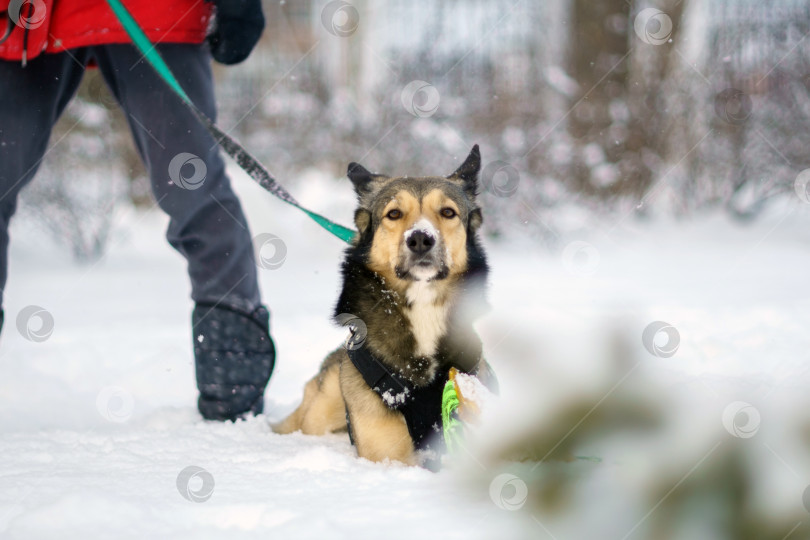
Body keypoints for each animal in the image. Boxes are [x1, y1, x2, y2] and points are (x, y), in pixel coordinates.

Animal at [274, 146, 492, 466]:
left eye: (448, 212)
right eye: (394, 214)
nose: (420, 238)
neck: (422, 306)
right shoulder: (388, 454)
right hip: (324, 406)